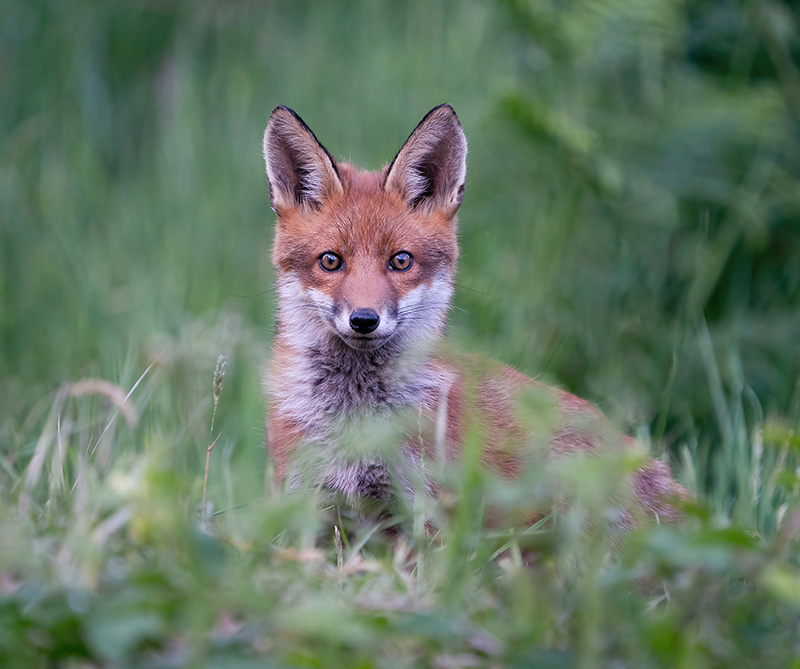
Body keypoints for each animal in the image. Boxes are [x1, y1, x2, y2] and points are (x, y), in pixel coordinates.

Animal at [261, 103, 687, 530]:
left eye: (401, 261)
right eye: (330, 261)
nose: (364, 320)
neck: (357, 416)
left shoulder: (424, 507)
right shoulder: (306, 502)